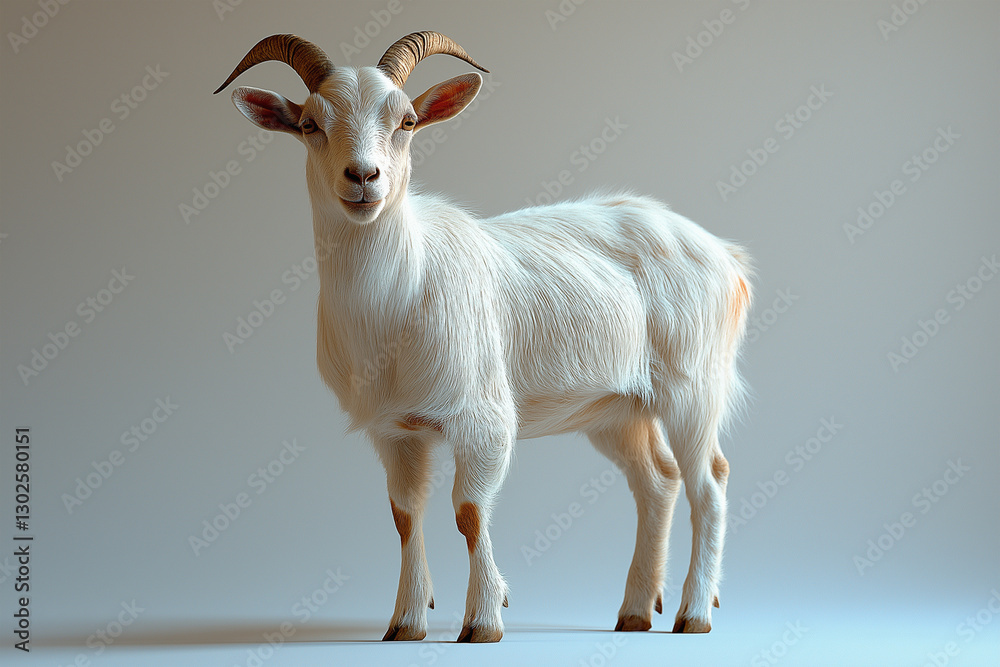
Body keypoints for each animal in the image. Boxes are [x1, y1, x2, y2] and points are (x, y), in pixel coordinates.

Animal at [215, 31, 752, 643]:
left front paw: (483, 621)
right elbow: (405, 516)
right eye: (309, 123)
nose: (363, 177)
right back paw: (635, 613)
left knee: (709, 482)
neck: (398, 294)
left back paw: (693, 613)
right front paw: (405, 623)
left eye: (406, 121)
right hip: (616, 408)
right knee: (657, 481)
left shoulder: (484, 418)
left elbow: (469, 512)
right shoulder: (394, 429)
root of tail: (727, 257)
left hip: (694, 386)